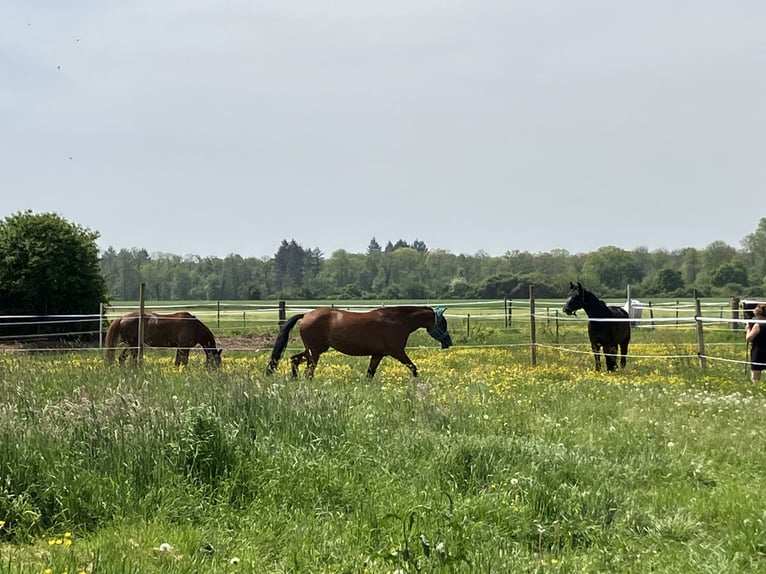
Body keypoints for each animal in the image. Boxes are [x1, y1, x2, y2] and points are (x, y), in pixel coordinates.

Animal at [268, 308, 452, 380]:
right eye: (443, 323)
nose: (448, 342)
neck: (397, 321)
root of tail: (306, 315)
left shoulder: (378, 354)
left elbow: (370, 373)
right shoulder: (398, 352)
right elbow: (413, 368)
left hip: (312, 350)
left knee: (294, 360)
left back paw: (294, 379)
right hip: (315, 351)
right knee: (308, 371)